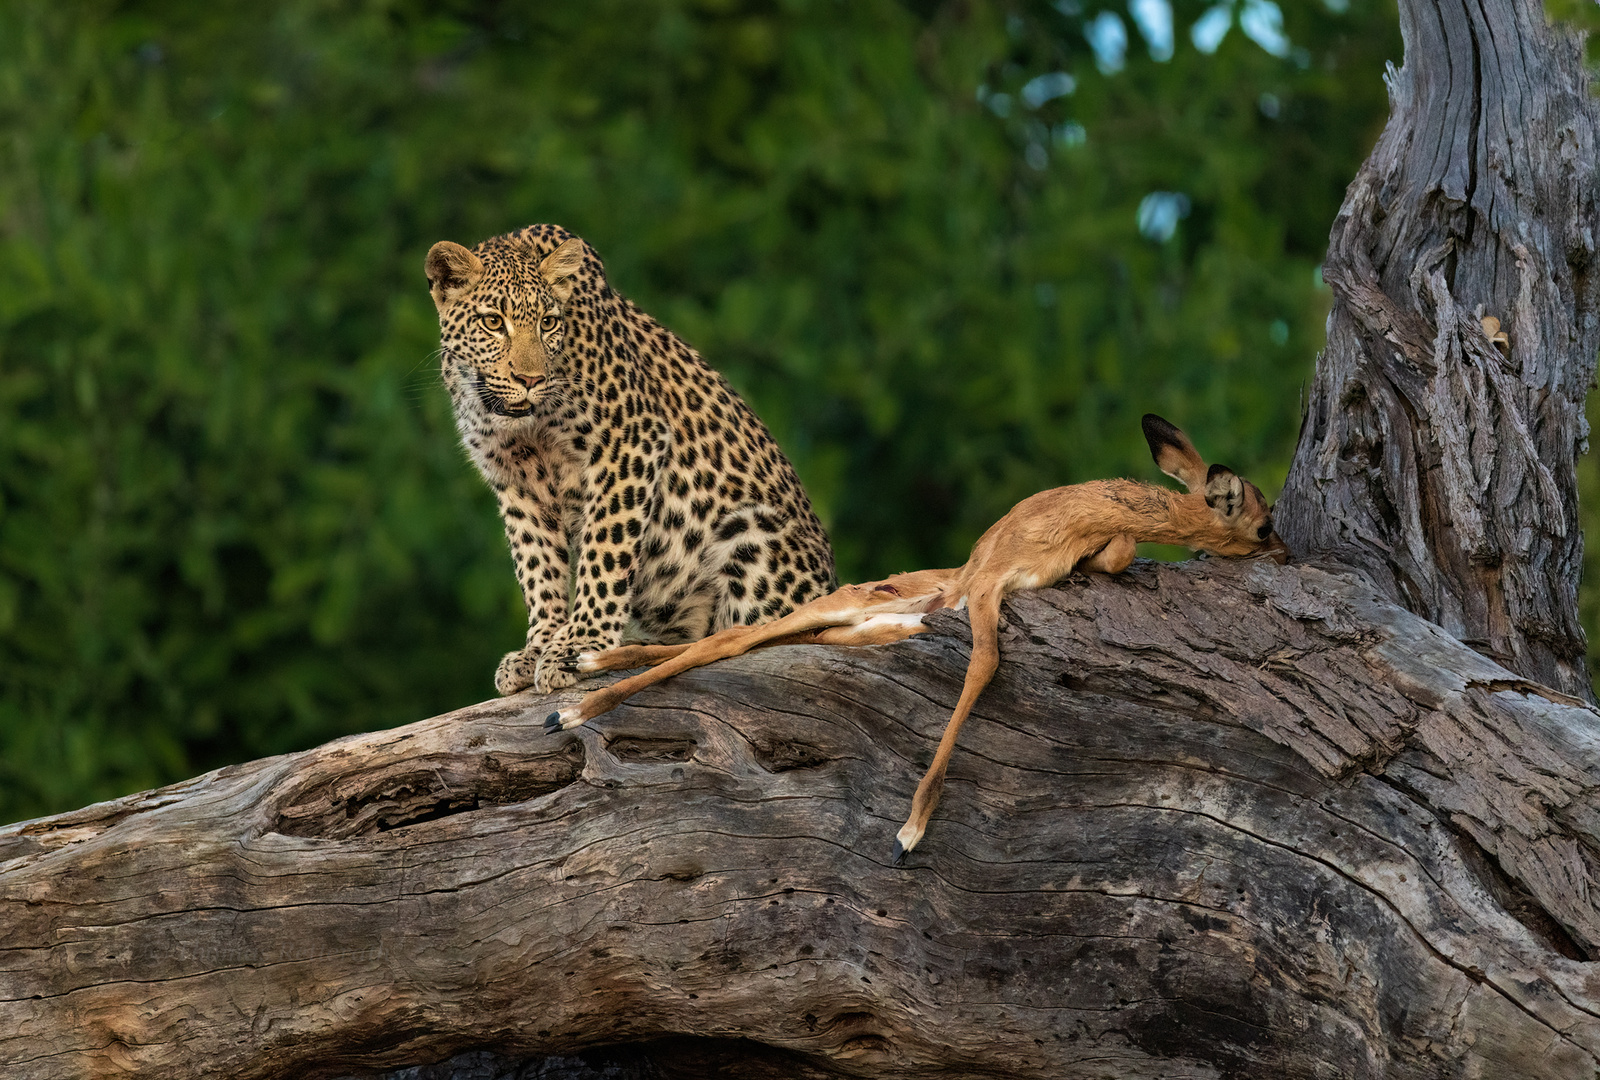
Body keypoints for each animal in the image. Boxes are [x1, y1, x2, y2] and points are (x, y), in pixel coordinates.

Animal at [425, 225, 838, 697]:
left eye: (547, 322)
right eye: (493, 322)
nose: (530, 380)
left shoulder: (630, 440)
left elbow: (605, 550)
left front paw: (578, 647)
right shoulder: (515, 479)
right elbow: (536, 565)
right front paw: (538, 646)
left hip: (751, 532)